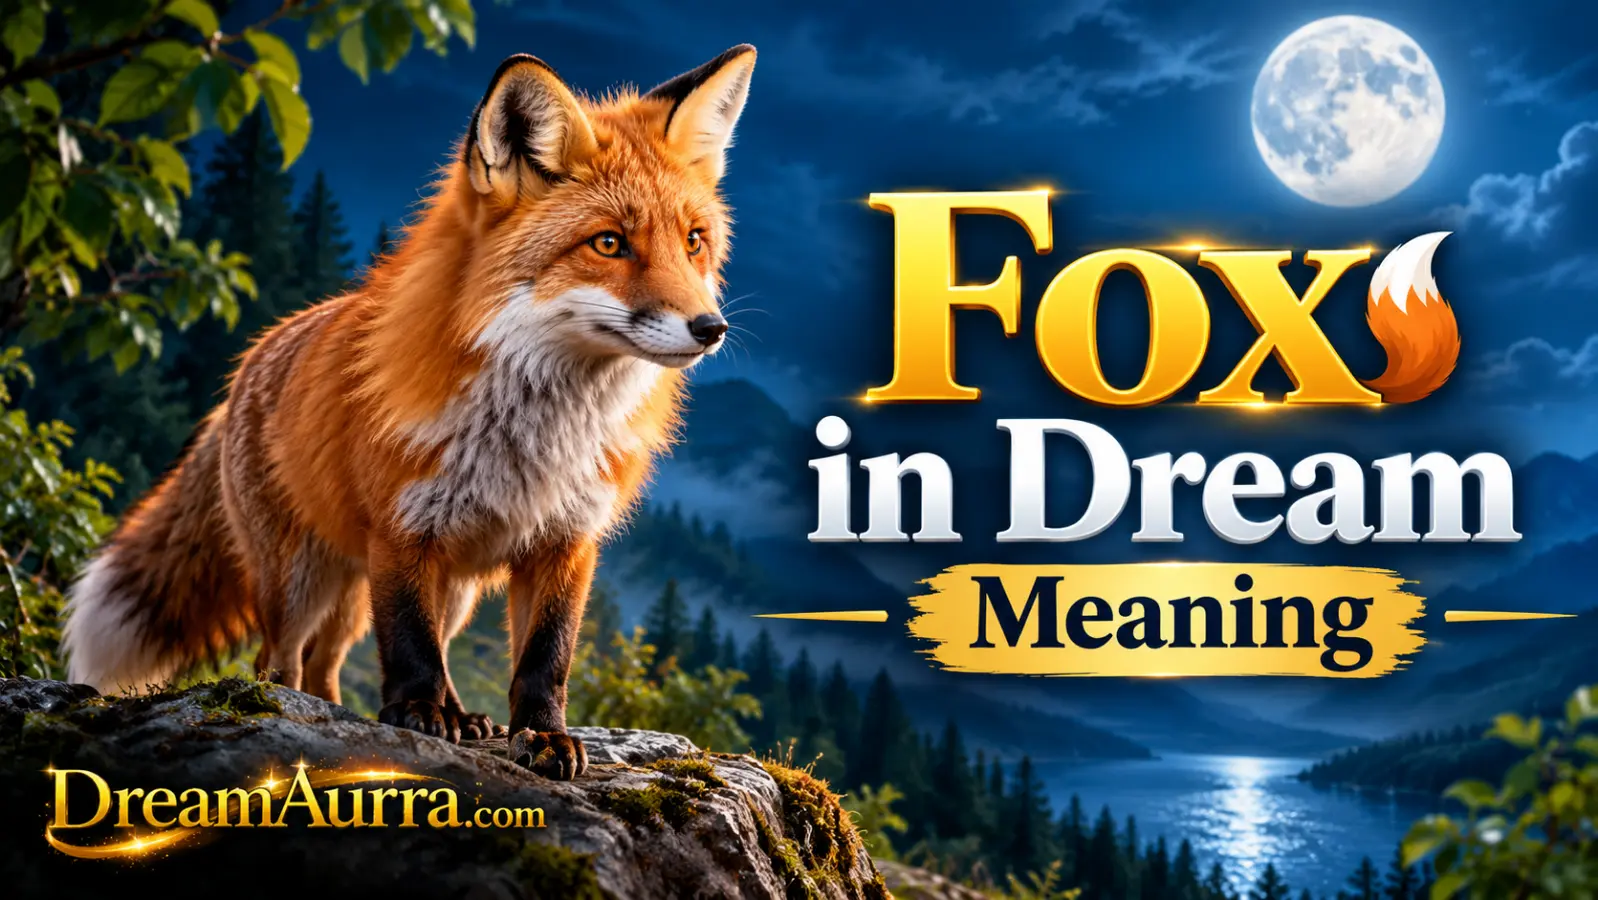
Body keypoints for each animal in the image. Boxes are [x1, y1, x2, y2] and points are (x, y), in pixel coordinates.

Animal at [60, 45, 758, 779]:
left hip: (431, 589)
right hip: (301, 577)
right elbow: (411, 647)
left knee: (335, 661)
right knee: (283, 657)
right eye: (609, 244)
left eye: (693, 241)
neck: (537, 434)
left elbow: (546, 656)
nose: (710, 328)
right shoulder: (401, 529)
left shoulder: (566, 540)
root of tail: (253, 359)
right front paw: (419, 715)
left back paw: (452, 718)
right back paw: (294, 705)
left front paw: (542, 736)